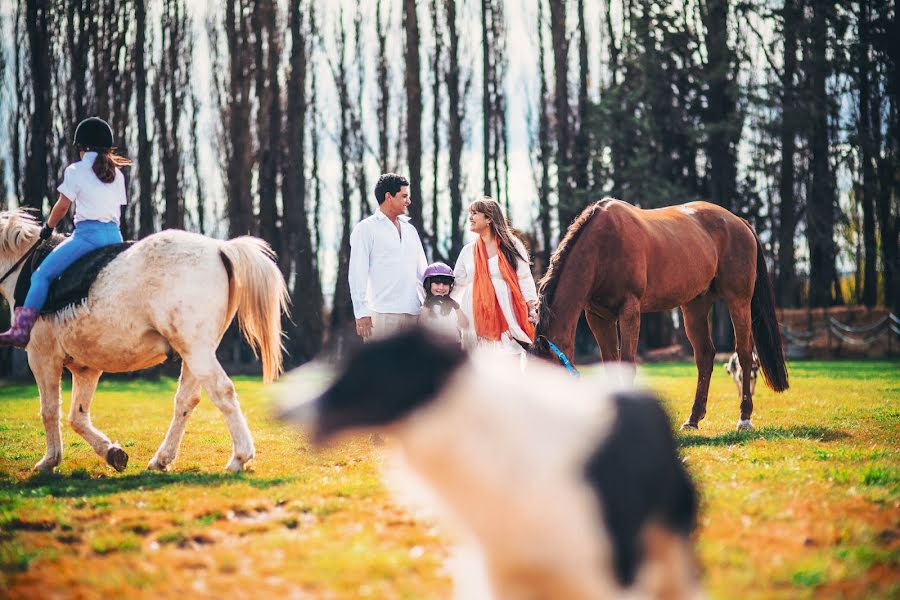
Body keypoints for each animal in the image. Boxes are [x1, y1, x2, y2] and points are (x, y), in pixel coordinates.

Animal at [0, 211, 288, 474]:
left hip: (197, 351)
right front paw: (112, 452)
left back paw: (240, 457)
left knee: (222, 391)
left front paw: (49, 461)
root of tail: (220, 248)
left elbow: (50, 410)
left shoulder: (42, 357)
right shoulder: (86, 368)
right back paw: (162, 459)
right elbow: (77, 417)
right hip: (194, 353)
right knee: (187, 400)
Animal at [536, 199, 788, 428]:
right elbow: (611, 365)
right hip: (695, 306)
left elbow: (627, 363)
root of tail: (739, 222)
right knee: (705, 356)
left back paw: (744, 418)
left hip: (739, 300)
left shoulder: (629, 311)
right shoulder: (598, 317)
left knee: (744, 354)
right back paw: (693, 419)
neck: (604, 246)